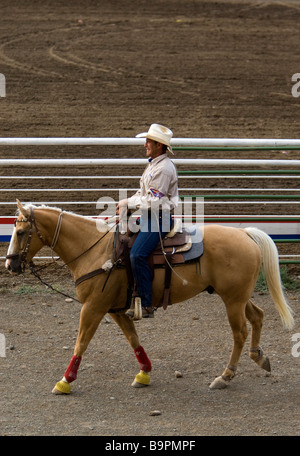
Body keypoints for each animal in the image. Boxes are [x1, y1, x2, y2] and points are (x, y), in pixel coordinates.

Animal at [5, 201, 294, 394]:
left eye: (20, 232)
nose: (10, 264)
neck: (95, 251)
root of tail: (244, 233)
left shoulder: (93, 307)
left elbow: (81, 343)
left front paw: (65, 381)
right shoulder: (115, 309)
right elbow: (133, 338)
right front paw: (144, 373)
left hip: (232, 300)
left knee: (240, 333)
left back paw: (225, 376)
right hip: (237, 296)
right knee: (258, 316)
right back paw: (259, 357)